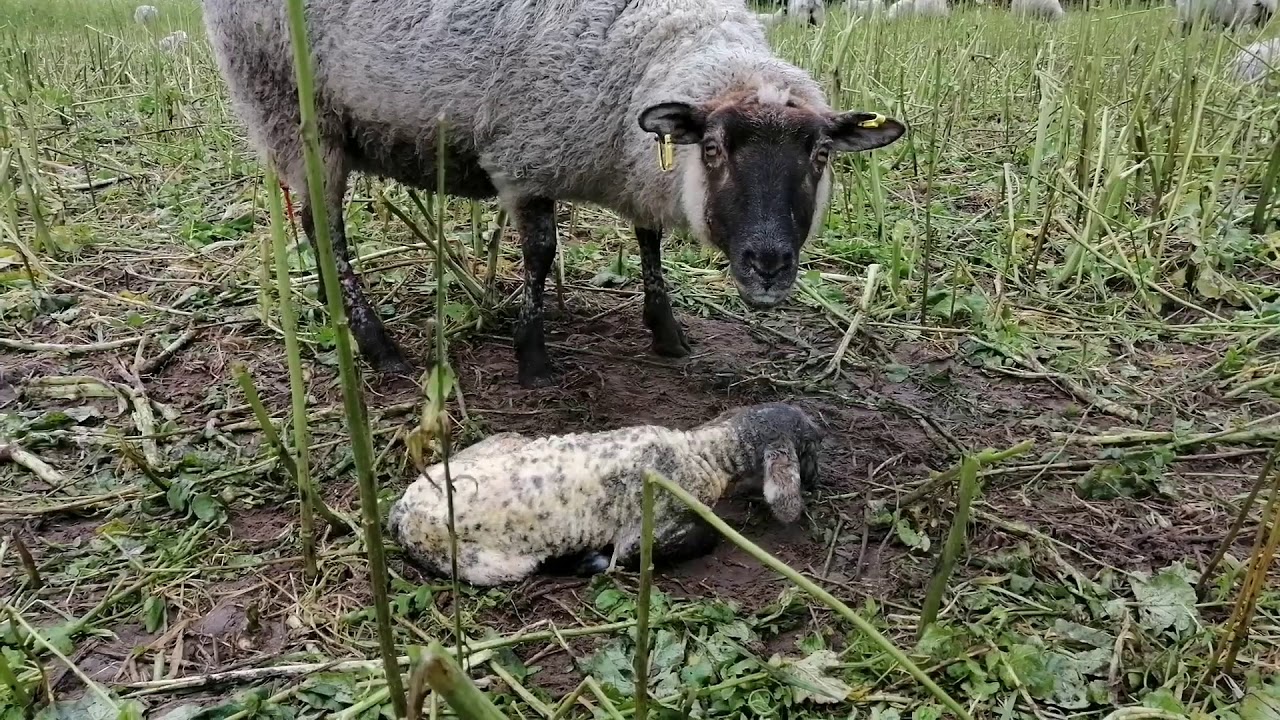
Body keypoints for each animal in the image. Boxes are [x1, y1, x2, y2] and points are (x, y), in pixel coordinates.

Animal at [202, 0, 906, 388]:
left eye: (819, 156)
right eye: (712, 150)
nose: (768, 265)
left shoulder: (634, 164)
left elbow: (649, 241)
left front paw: (667, 333)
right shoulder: (524, 158)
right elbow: (541, 254)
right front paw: (533, 358)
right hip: (290, 107)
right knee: (325, 226)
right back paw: (378, 345)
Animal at [387, 402, 824, 587]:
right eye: (810, 448)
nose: (818, 480)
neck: (702, 452)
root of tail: (402, 513)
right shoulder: (647, 531)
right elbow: (698, 540)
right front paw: (594, 562)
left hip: (497, 443)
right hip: (488, 566)